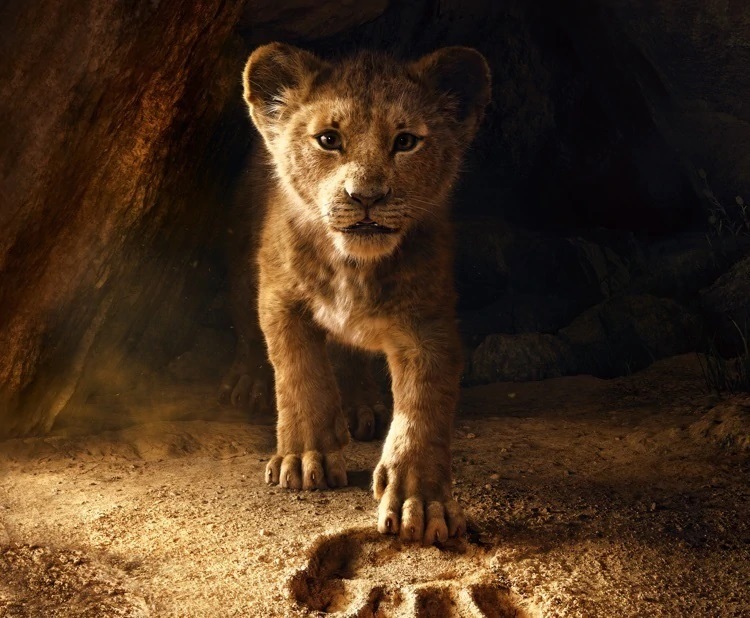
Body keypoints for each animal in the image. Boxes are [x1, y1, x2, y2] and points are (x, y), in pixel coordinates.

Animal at [224, 43, 491, 544]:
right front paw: (304, 458)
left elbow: (423, 408)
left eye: (405, 141)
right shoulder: (280, 298)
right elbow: (299, 375)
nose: (366, 196)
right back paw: (249, 383)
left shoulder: (428, 323)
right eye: (328, 139)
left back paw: (361, 404)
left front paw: (419, 502)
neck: (354, 265)